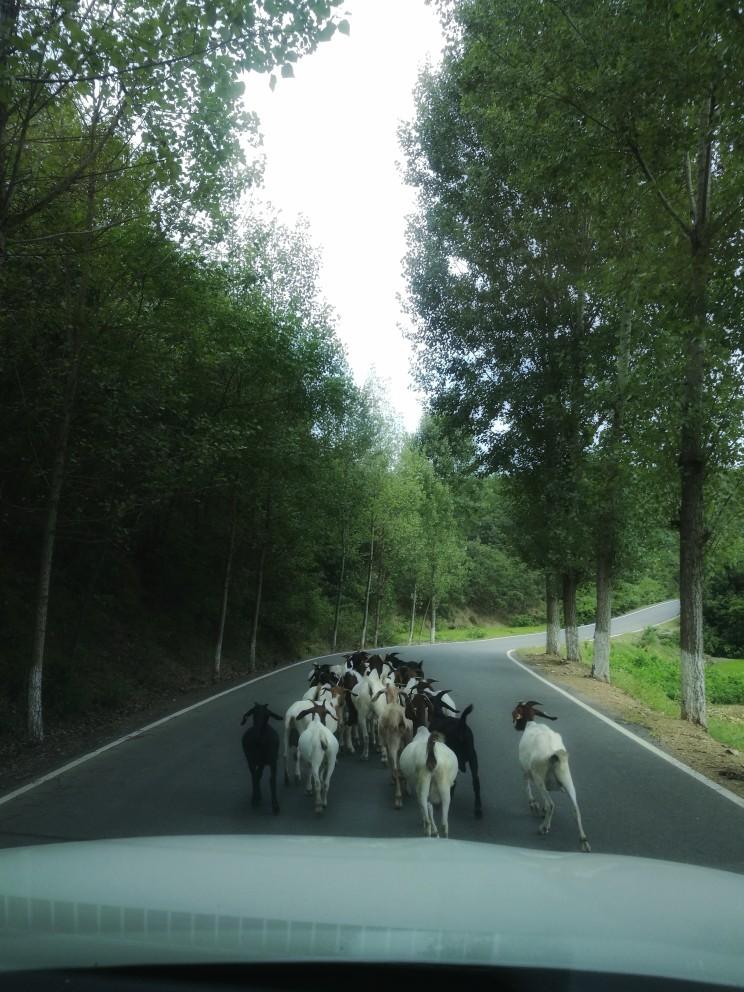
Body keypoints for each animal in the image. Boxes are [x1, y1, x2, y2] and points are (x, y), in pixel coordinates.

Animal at [508, 696, 588, 852]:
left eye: (516, 712)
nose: (516, 727)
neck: (532, 724)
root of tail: (554, 755)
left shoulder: (525, 770)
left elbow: (527, 787)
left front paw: (534, 805)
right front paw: (544, 813)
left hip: (539, 777)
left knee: (552, 804)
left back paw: (543, 828)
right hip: (567, 779)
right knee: (576, 809)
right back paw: (584, 841)